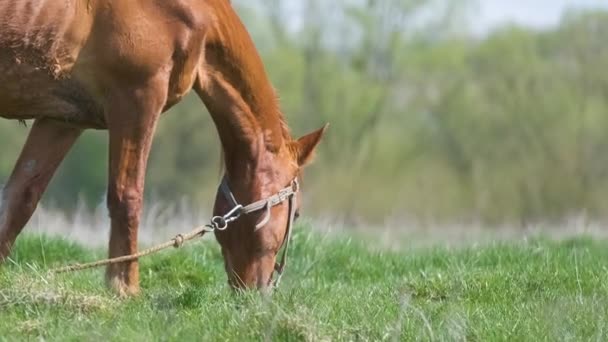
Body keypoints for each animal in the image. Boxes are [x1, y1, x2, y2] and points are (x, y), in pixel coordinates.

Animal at [0, 0, 328, 296]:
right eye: (296, 214)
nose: (259, 293)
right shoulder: (138, 97)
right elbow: (127, 196)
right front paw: (124, 288)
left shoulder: (61, 120)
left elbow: (20, 200)